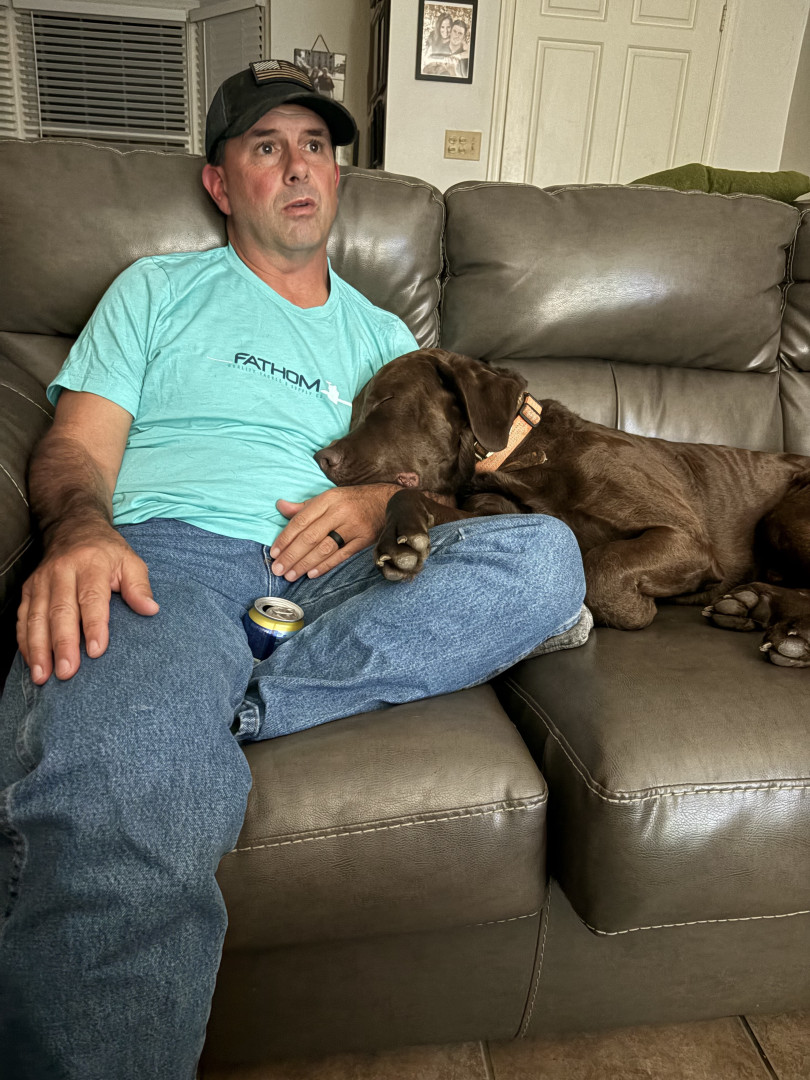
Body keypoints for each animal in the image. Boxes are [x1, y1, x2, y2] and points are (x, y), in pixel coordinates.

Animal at [315, 349, 810, 668]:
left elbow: (600, 569)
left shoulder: (683, 536)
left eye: (386, 400)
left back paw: (789, 631)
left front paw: (637, 611)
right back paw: (752, 606)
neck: (519, 456)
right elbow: (404, 496)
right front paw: (400, 542)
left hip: (784, 517)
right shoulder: (498, 514)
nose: (323, 458)